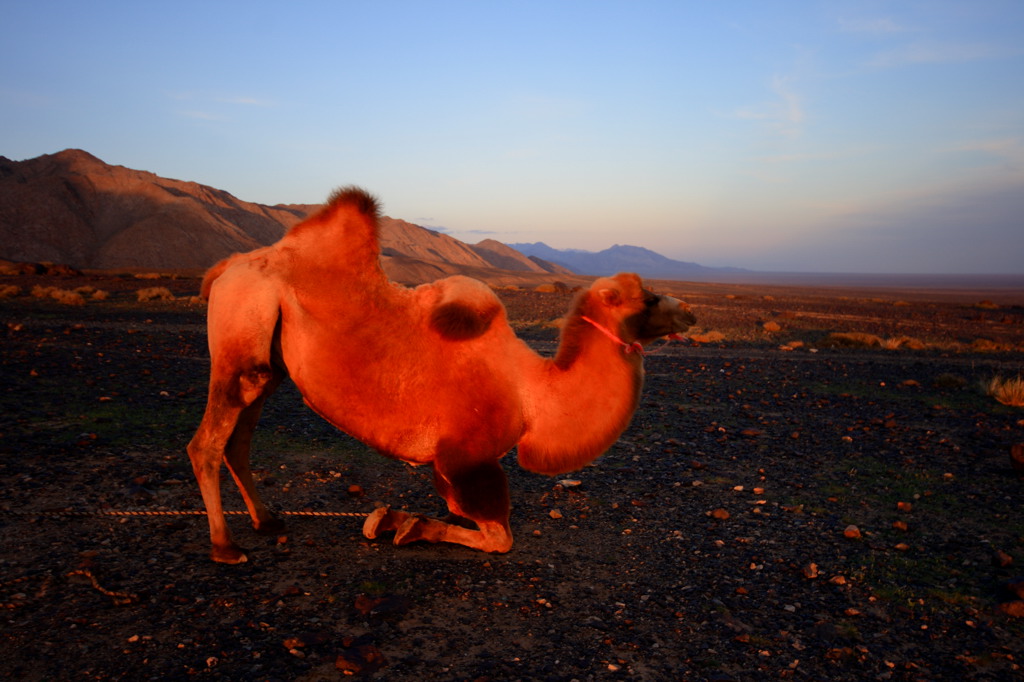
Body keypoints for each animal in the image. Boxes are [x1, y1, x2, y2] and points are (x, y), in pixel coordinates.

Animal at [186, 187, 696, 561]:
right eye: (648, 298)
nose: (689, 312)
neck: (532, 393)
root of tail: (225, 268)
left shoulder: (447, 463)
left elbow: (456, 510)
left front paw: (391, 519)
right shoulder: (467, 455)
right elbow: (498, 536)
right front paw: (411, 525)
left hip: (269, 363)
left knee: (239, 439)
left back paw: (267, 520)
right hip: (242, 327)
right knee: (207, 442)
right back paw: (225, 546)